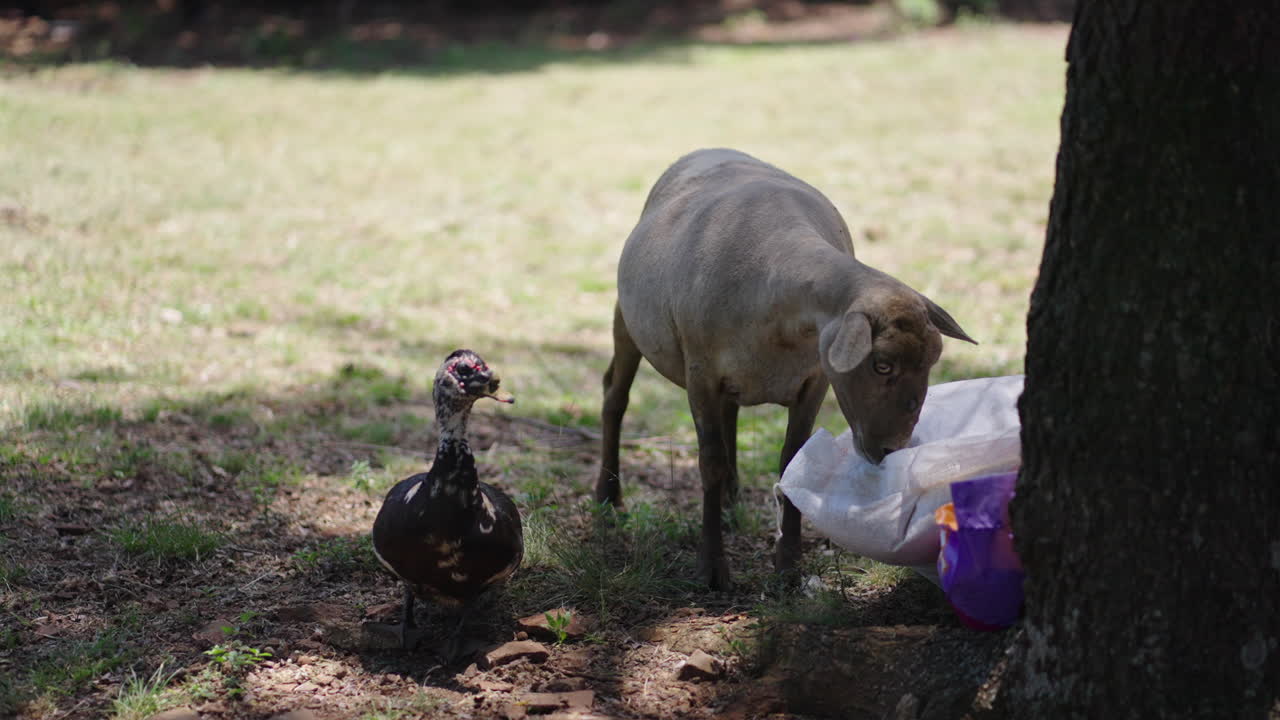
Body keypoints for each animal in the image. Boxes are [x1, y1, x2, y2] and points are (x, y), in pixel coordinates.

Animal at [595, 148, 974, 589]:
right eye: (881, 365)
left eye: (933, 362)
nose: (891, 450)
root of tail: (706, 150)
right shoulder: (700, 373)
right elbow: (709, 462)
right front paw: (712, 568)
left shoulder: (815, 380)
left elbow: (791, 458)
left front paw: (788, 564)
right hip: (627, 319)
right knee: (614, 397)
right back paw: (607, 497)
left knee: (729, 416)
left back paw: (731, 500)